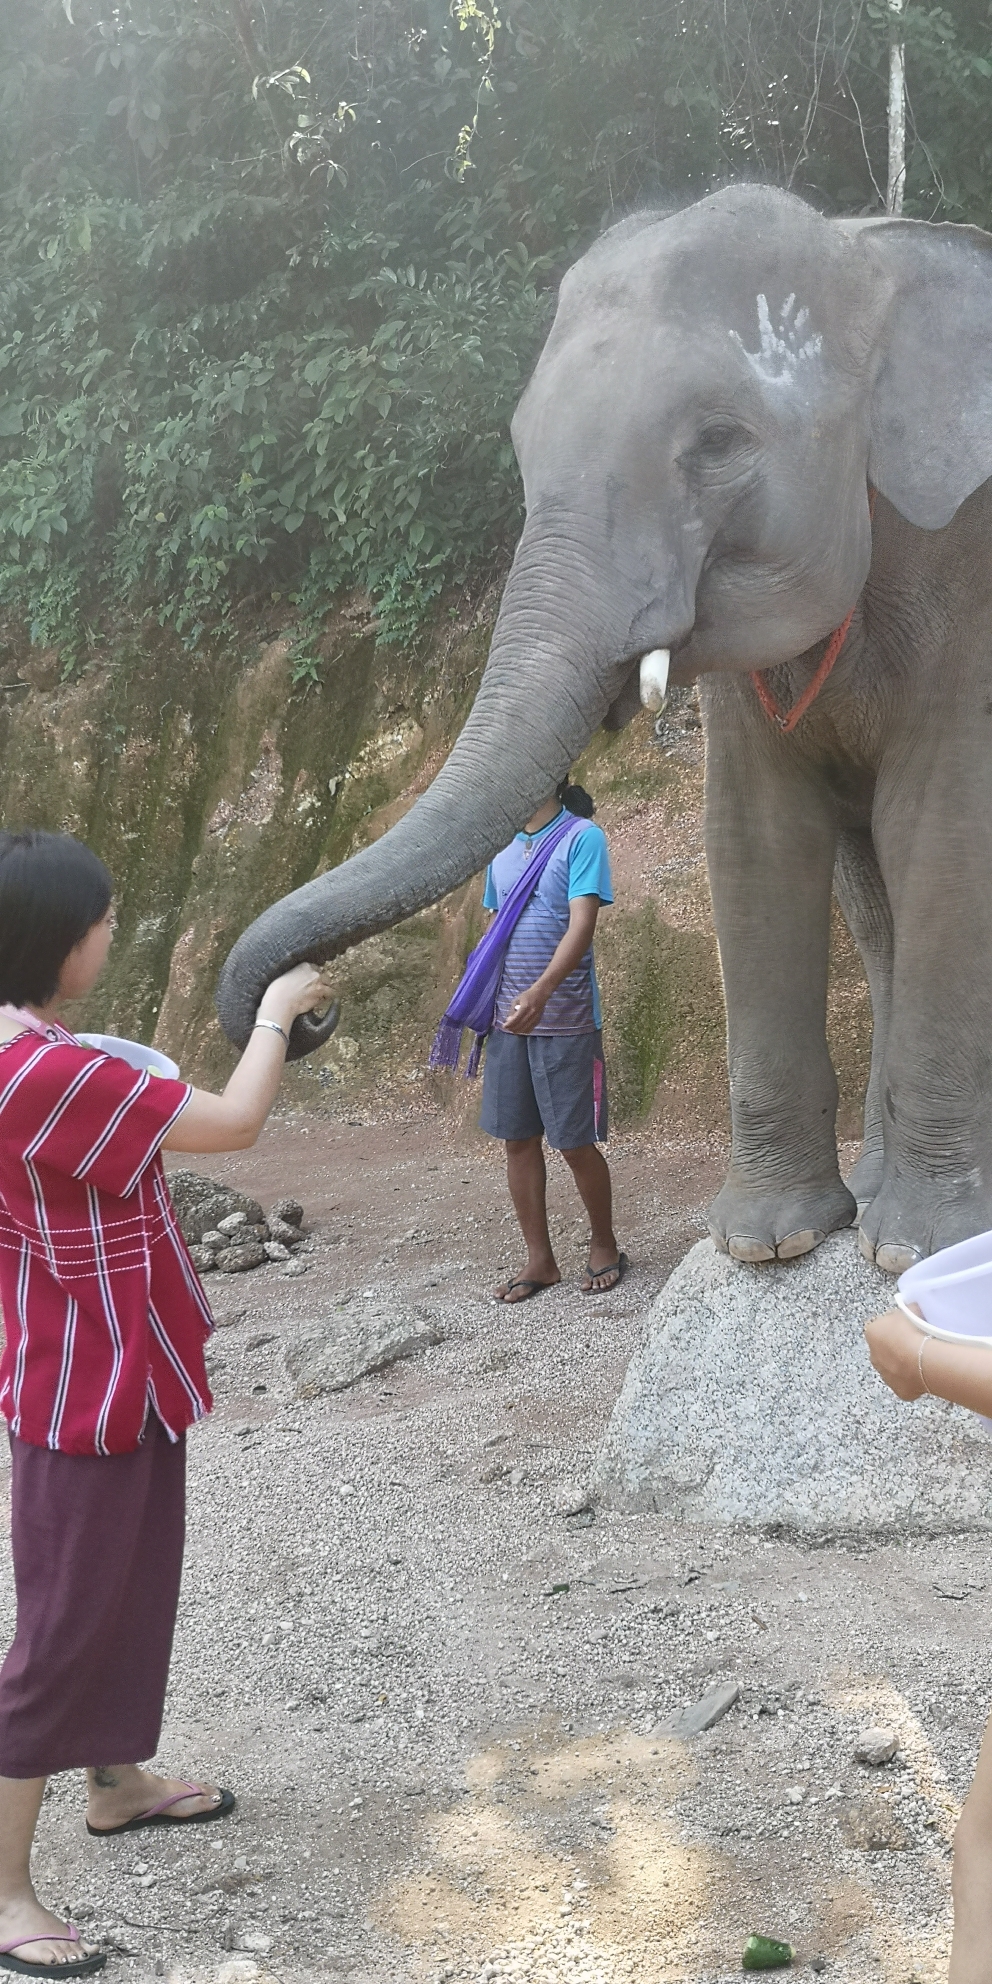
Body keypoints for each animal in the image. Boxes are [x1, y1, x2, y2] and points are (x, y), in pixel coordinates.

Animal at [217, 186, 992, 1269]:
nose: (310, 1013)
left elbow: (945, 835)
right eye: (522, 442)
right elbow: (751, 838)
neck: (873, 256)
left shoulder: (969, 577)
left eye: (719, 442)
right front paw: (770, 1245)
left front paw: (916, 1254)